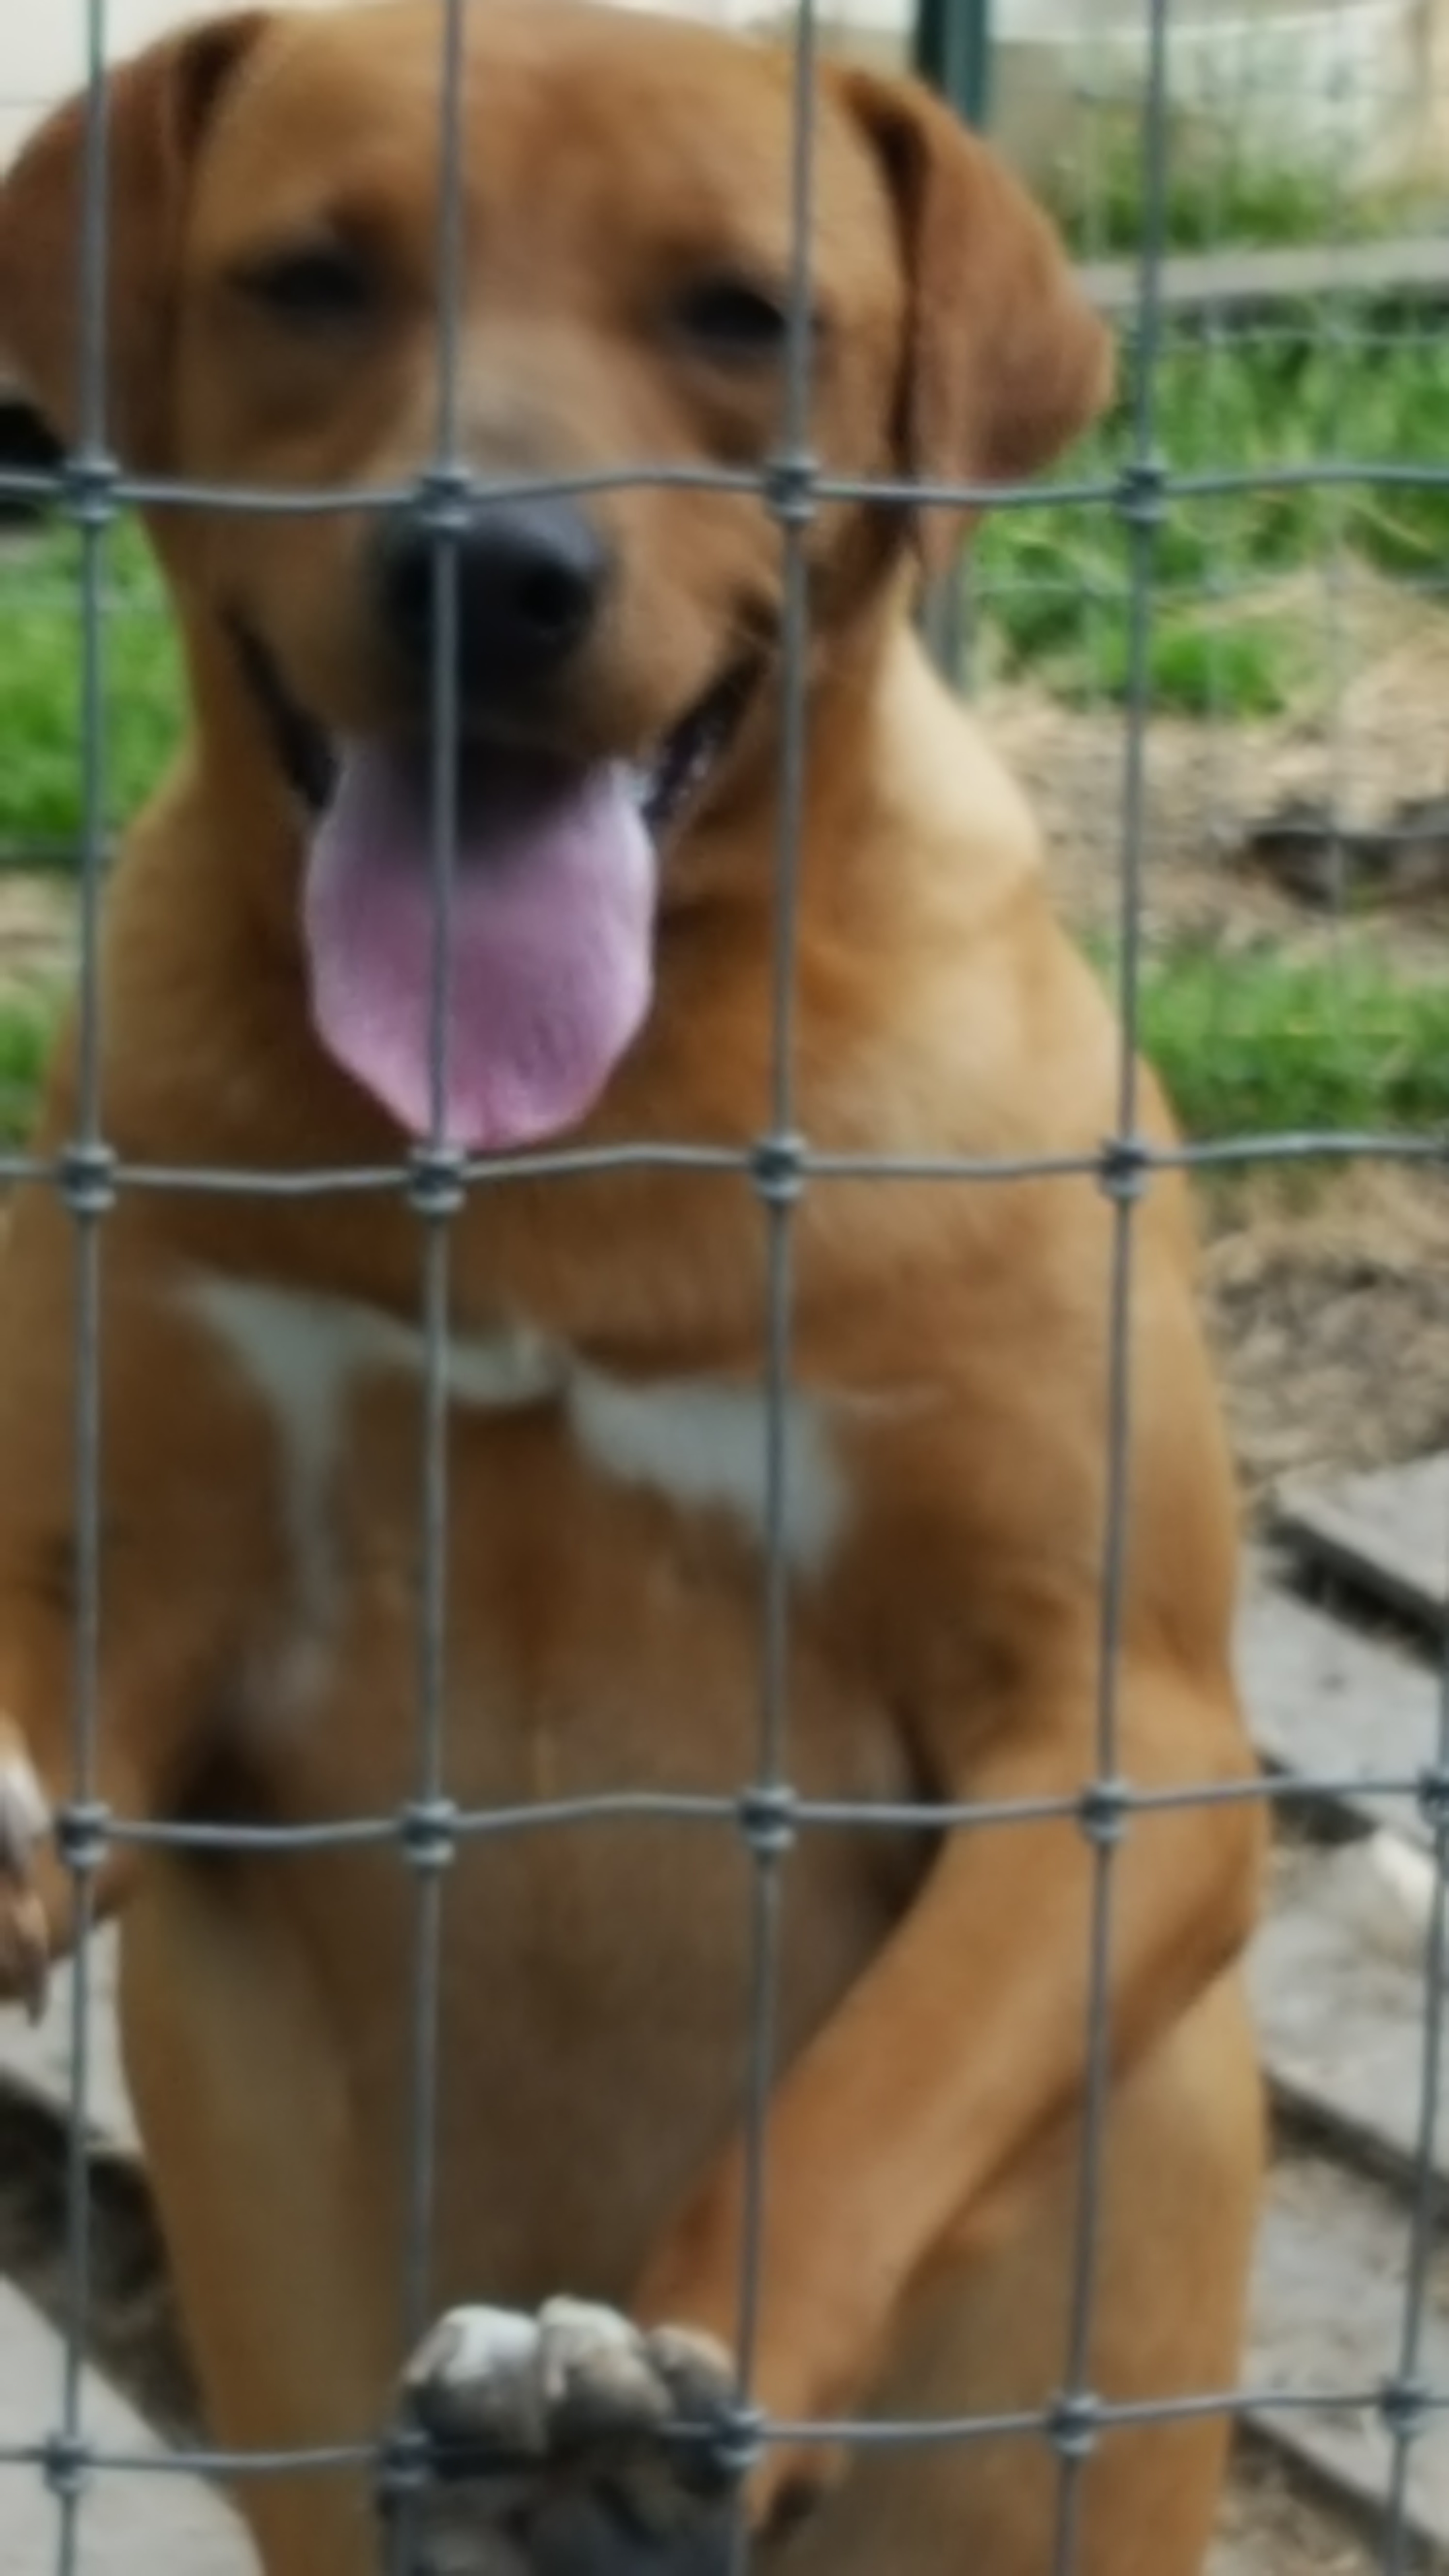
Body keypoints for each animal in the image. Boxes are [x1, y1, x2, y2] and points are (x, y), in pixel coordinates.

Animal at [0, 5, 1258, 2576]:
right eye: (308, 276)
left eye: (742, 314)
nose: (486, 567)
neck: (603, 1120)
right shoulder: (131, 1618)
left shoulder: (1117, 1736)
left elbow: (877, 2088)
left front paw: (641, 2383)